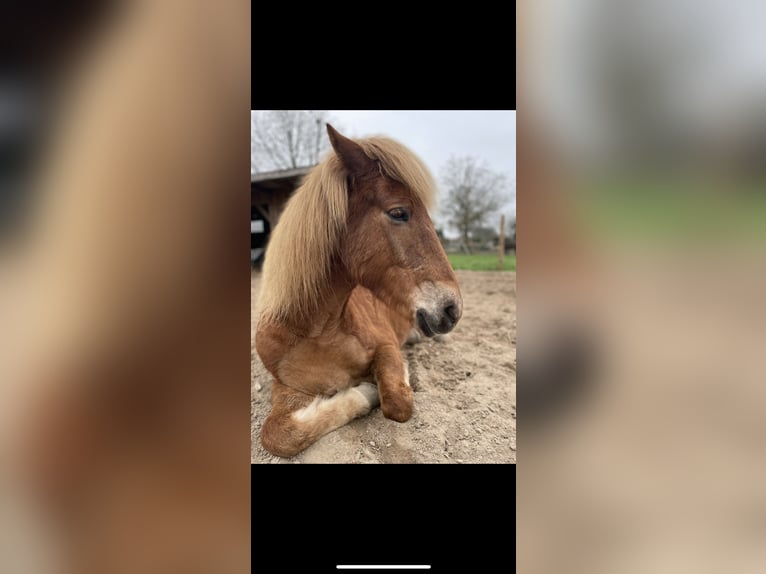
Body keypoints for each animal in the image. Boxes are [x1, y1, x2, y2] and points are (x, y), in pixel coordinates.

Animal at [255, 124, 463, 458]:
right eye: (399, 212)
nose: (451, 308)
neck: (318, 331)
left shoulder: (387, 346)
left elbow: (397, 402)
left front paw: (373, 388)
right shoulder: (286, 387)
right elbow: (279, 435)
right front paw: (364, 391)